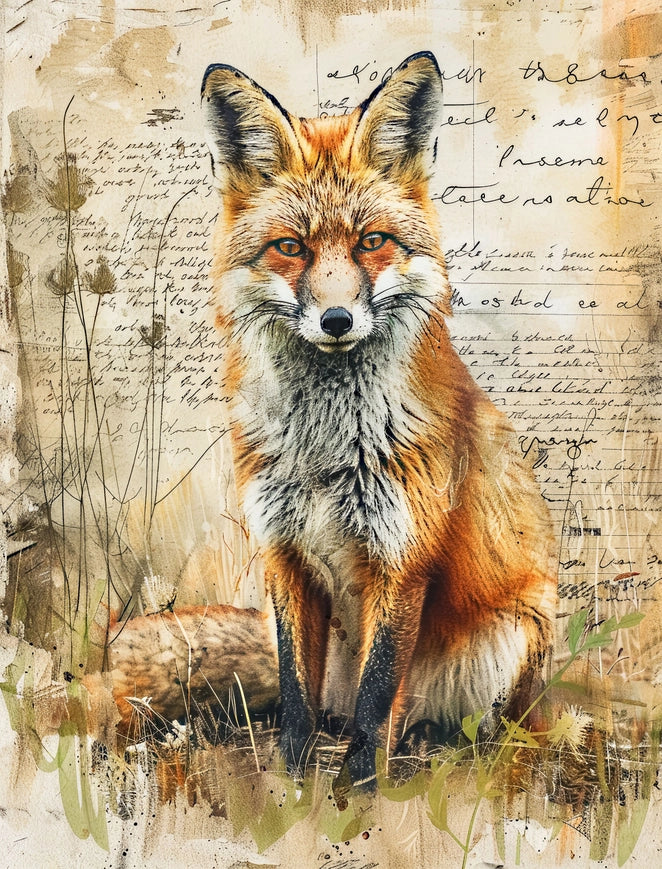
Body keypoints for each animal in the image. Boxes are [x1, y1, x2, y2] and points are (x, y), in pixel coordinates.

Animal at [194, 51, 557, 788]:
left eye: (372, 242)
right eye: (291, 248)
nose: (337, 320)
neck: (325, 449)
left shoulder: (402, 558)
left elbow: (378, 688)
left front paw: (359, 786)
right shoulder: (284, 555)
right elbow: (295, 691)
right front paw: (293, 779)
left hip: (515, 635)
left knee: (462, 725)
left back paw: (429, 747)